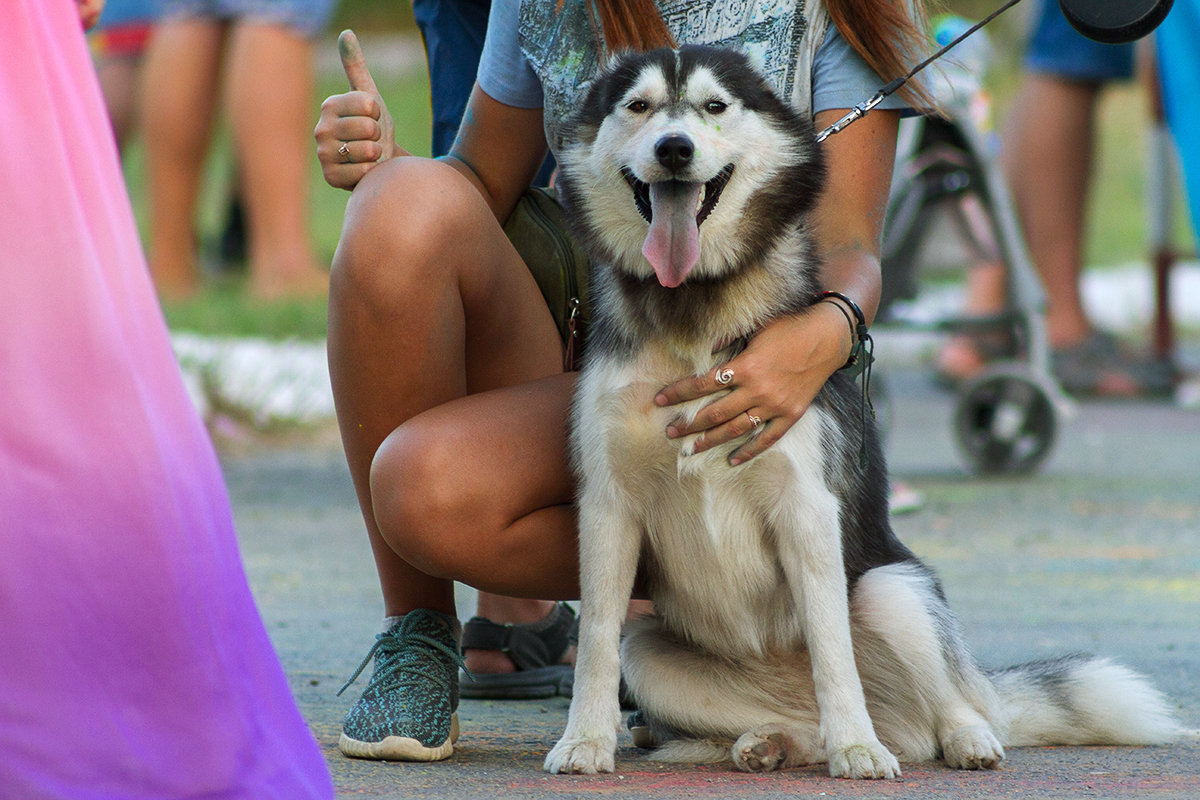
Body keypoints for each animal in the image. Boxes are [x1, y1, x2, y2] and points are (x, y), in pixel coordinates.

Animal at [547, 47, 1180, 777]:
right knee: (763, 716)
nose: (674, 149)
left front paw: (857, 747)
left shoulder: (806, 507)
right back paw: (765, 742)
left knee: (954, 706)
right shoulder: (608, 506)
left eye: (713, 107)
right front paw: (585, 740)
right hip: (649, 651)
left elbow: (832, 648)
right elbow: (596, 636)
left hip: (894, 591)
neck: (693, 310)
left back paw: (952, 738)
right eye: (639, 107)